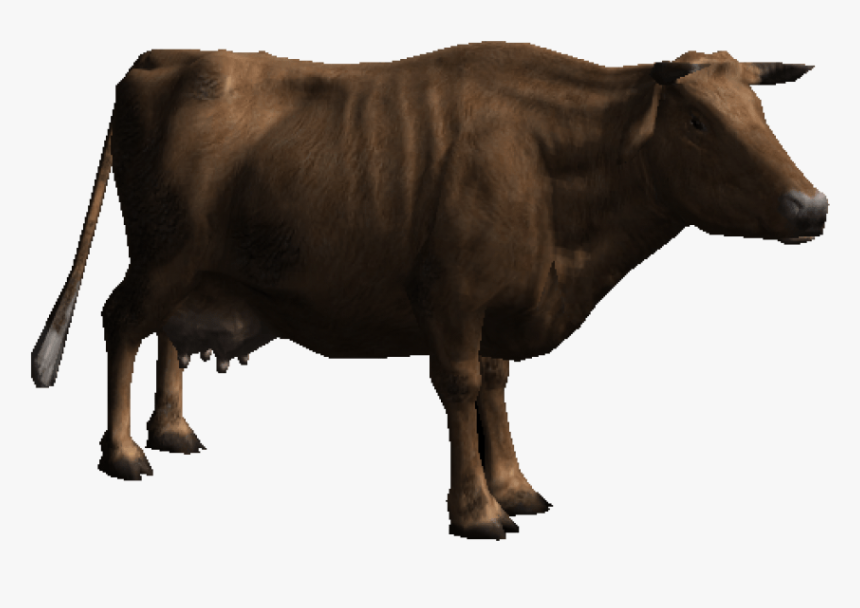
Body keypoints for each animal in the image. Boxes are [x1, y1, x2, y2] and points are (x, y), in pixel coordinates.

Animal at [32, 42, 827, 540]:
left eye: (759, 113)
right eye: (697, 120)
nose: (811, 207)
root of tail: (167, 57)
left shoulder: (499, 305)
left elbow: (496, 386)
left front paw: (515, 486)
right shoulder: (452, 297)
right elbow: (462, 387)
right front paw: (477, 510)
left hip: (193, 269)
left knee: (166, 331)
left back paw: (172, 431)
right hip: (163, 257)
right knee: (123, 322)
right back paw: (124, 452)